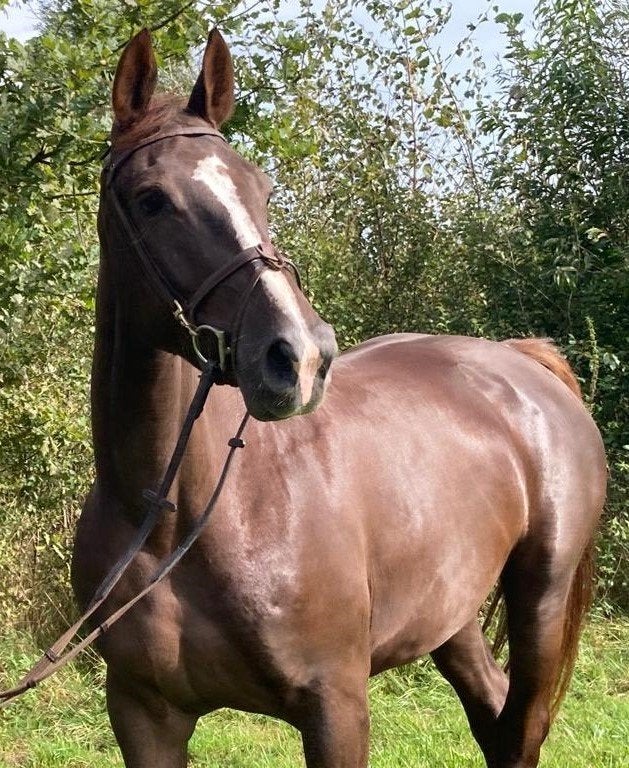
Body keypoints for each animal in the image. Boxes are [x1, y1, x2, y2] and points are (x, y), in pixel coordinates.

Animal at [71, 28, 606, 768]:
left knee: (520, 727)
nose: (299, 355)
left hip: (541, 604)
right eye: (152, 199)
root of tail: (521, 361)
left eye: (261, 189)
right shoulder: (142, 714)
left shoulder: (335, 706)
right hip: (452, 614)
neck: (179, 520)